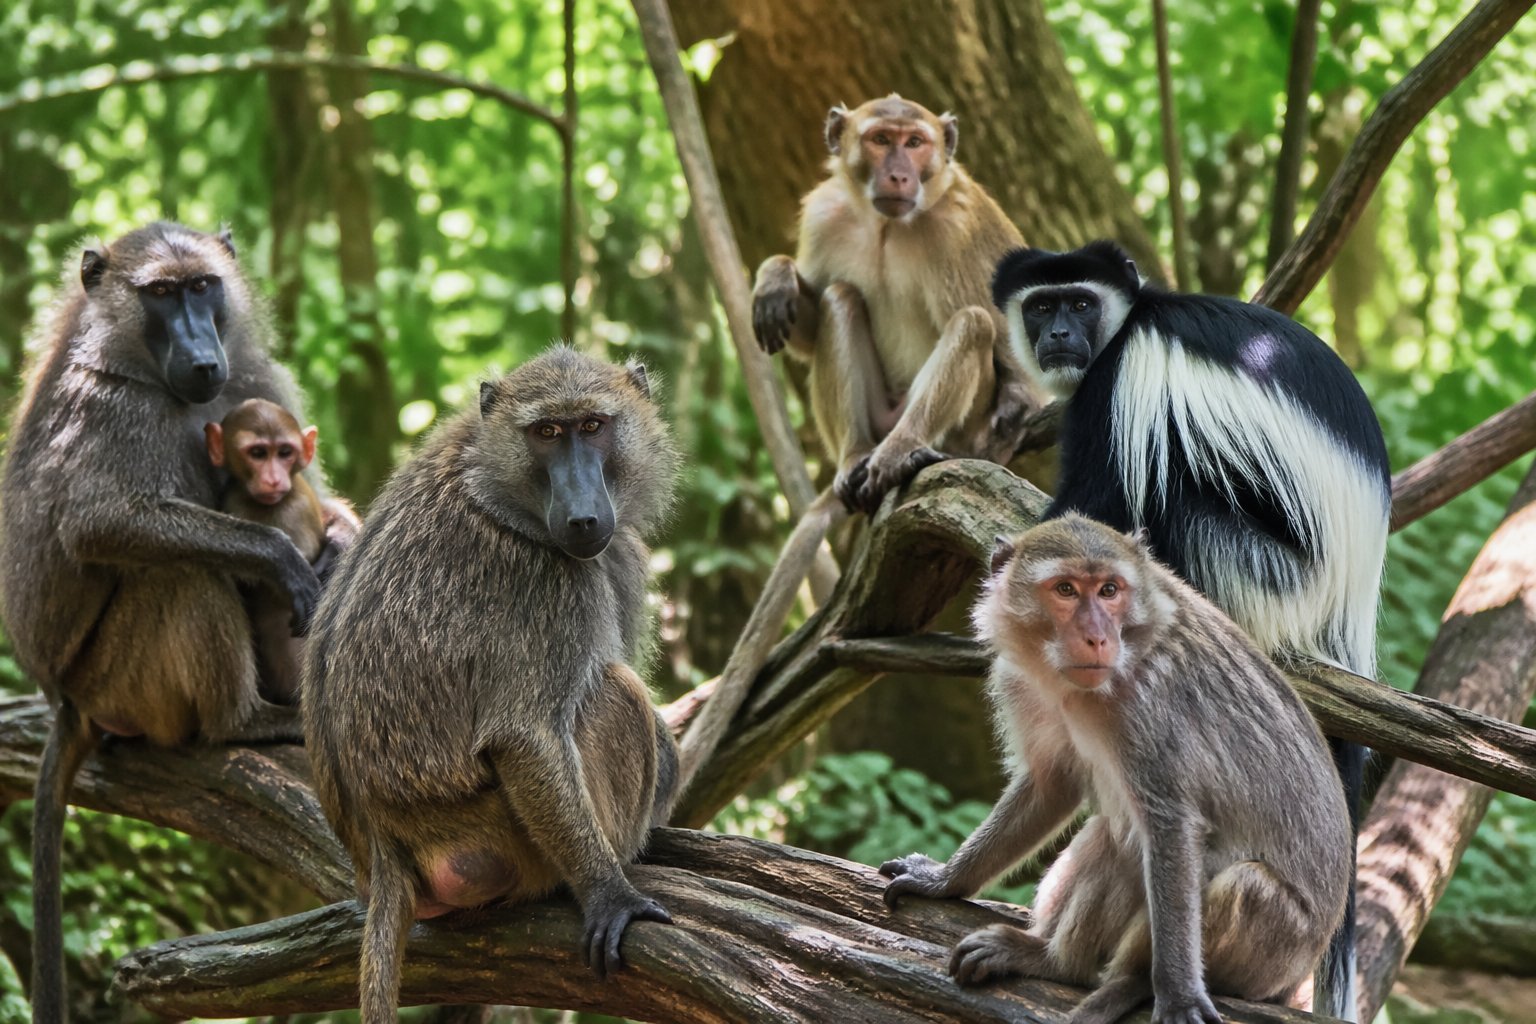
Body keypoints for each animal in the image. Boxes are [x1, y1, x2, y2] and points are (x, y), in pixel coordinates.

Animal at [302, 347, 681, 1023]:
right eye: (547, 432)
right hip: (503, 840)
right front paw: (609, 894)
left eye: (592, 426)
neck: (491, 483)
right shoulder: (548, 585)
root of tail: (385, 849)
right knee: (614, 692)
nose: (583, 516)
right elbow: (523, 738)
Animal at [879, 514, 1351, 1024]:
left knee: (1238, 882)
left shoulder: (1148, 707)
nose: (1097, 637)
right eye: (1066, 589)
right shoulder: (1020, 681)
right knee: (1116, 836)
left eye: (1109, 590)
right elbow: (1051, 784)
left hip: (1275, 958)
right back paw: (1055, 962)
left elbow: (1171, 827)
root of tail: (1296, 979)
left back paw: (1126, 982)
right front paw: (944, 881)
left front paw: (1179, 994)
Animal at [991, 239, 1390, 1019]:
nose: (1060, 335)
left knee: (1174, 496)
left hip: (1258, 573)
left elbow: (1099, 500)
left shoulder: (1122, 383)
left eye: (1079, 302)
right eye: (1041, 306)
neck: (1133, 317)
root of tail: (1346, 618)